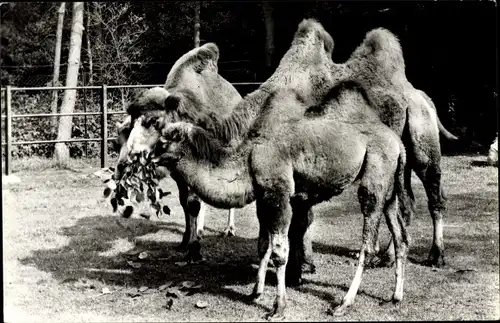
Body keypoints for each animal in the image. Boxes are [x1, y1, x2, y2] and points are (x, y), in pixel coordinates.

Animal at [110, 43, 242, 260]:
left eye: (154, 120)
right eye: (131, 123)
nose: (125, 163)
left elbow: (194, 203)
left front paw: (194, 250)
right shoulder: (178, 173)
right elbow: (185, 203)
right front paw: (185, 241)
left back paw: (229, 229)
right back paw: (201, 230)